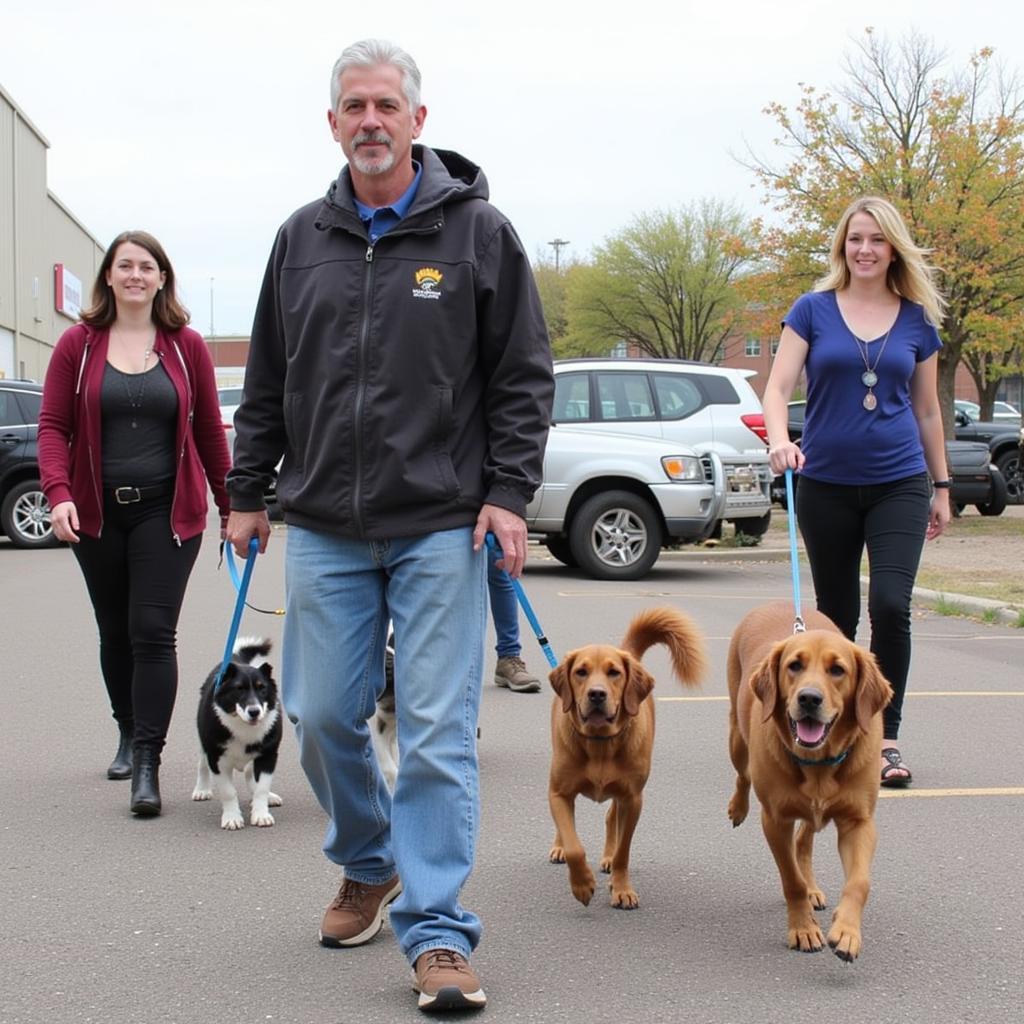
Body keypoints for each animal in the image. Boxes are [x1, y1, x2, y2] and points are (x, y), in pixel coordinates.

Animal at [548, 602, 708, 909]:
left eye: (614, 673)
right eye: (581, 672)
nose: (597, 694)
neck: (599, 742)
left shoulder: (633, 799)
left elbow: (624, 849)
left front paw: (621, 887)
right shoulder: (559, 793)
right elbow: (574, 845)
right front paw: (582, 884)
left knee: (611, 816)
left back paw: (608, 859)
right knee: (567, 824)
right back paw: (558, 847)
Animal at [729, 598, 888, 958]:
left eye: (837, 670)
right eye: (794, 666)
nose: (809, 698)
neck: (818, 764)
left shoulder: (859, 822)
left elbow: (860, 882)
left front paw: (847, 932)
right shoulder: (775, 820)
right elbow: (792, 881)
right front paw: (802, 929)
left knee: (805, 839)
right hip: (737, 739)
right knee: (743, 775)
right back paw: (737, 808)